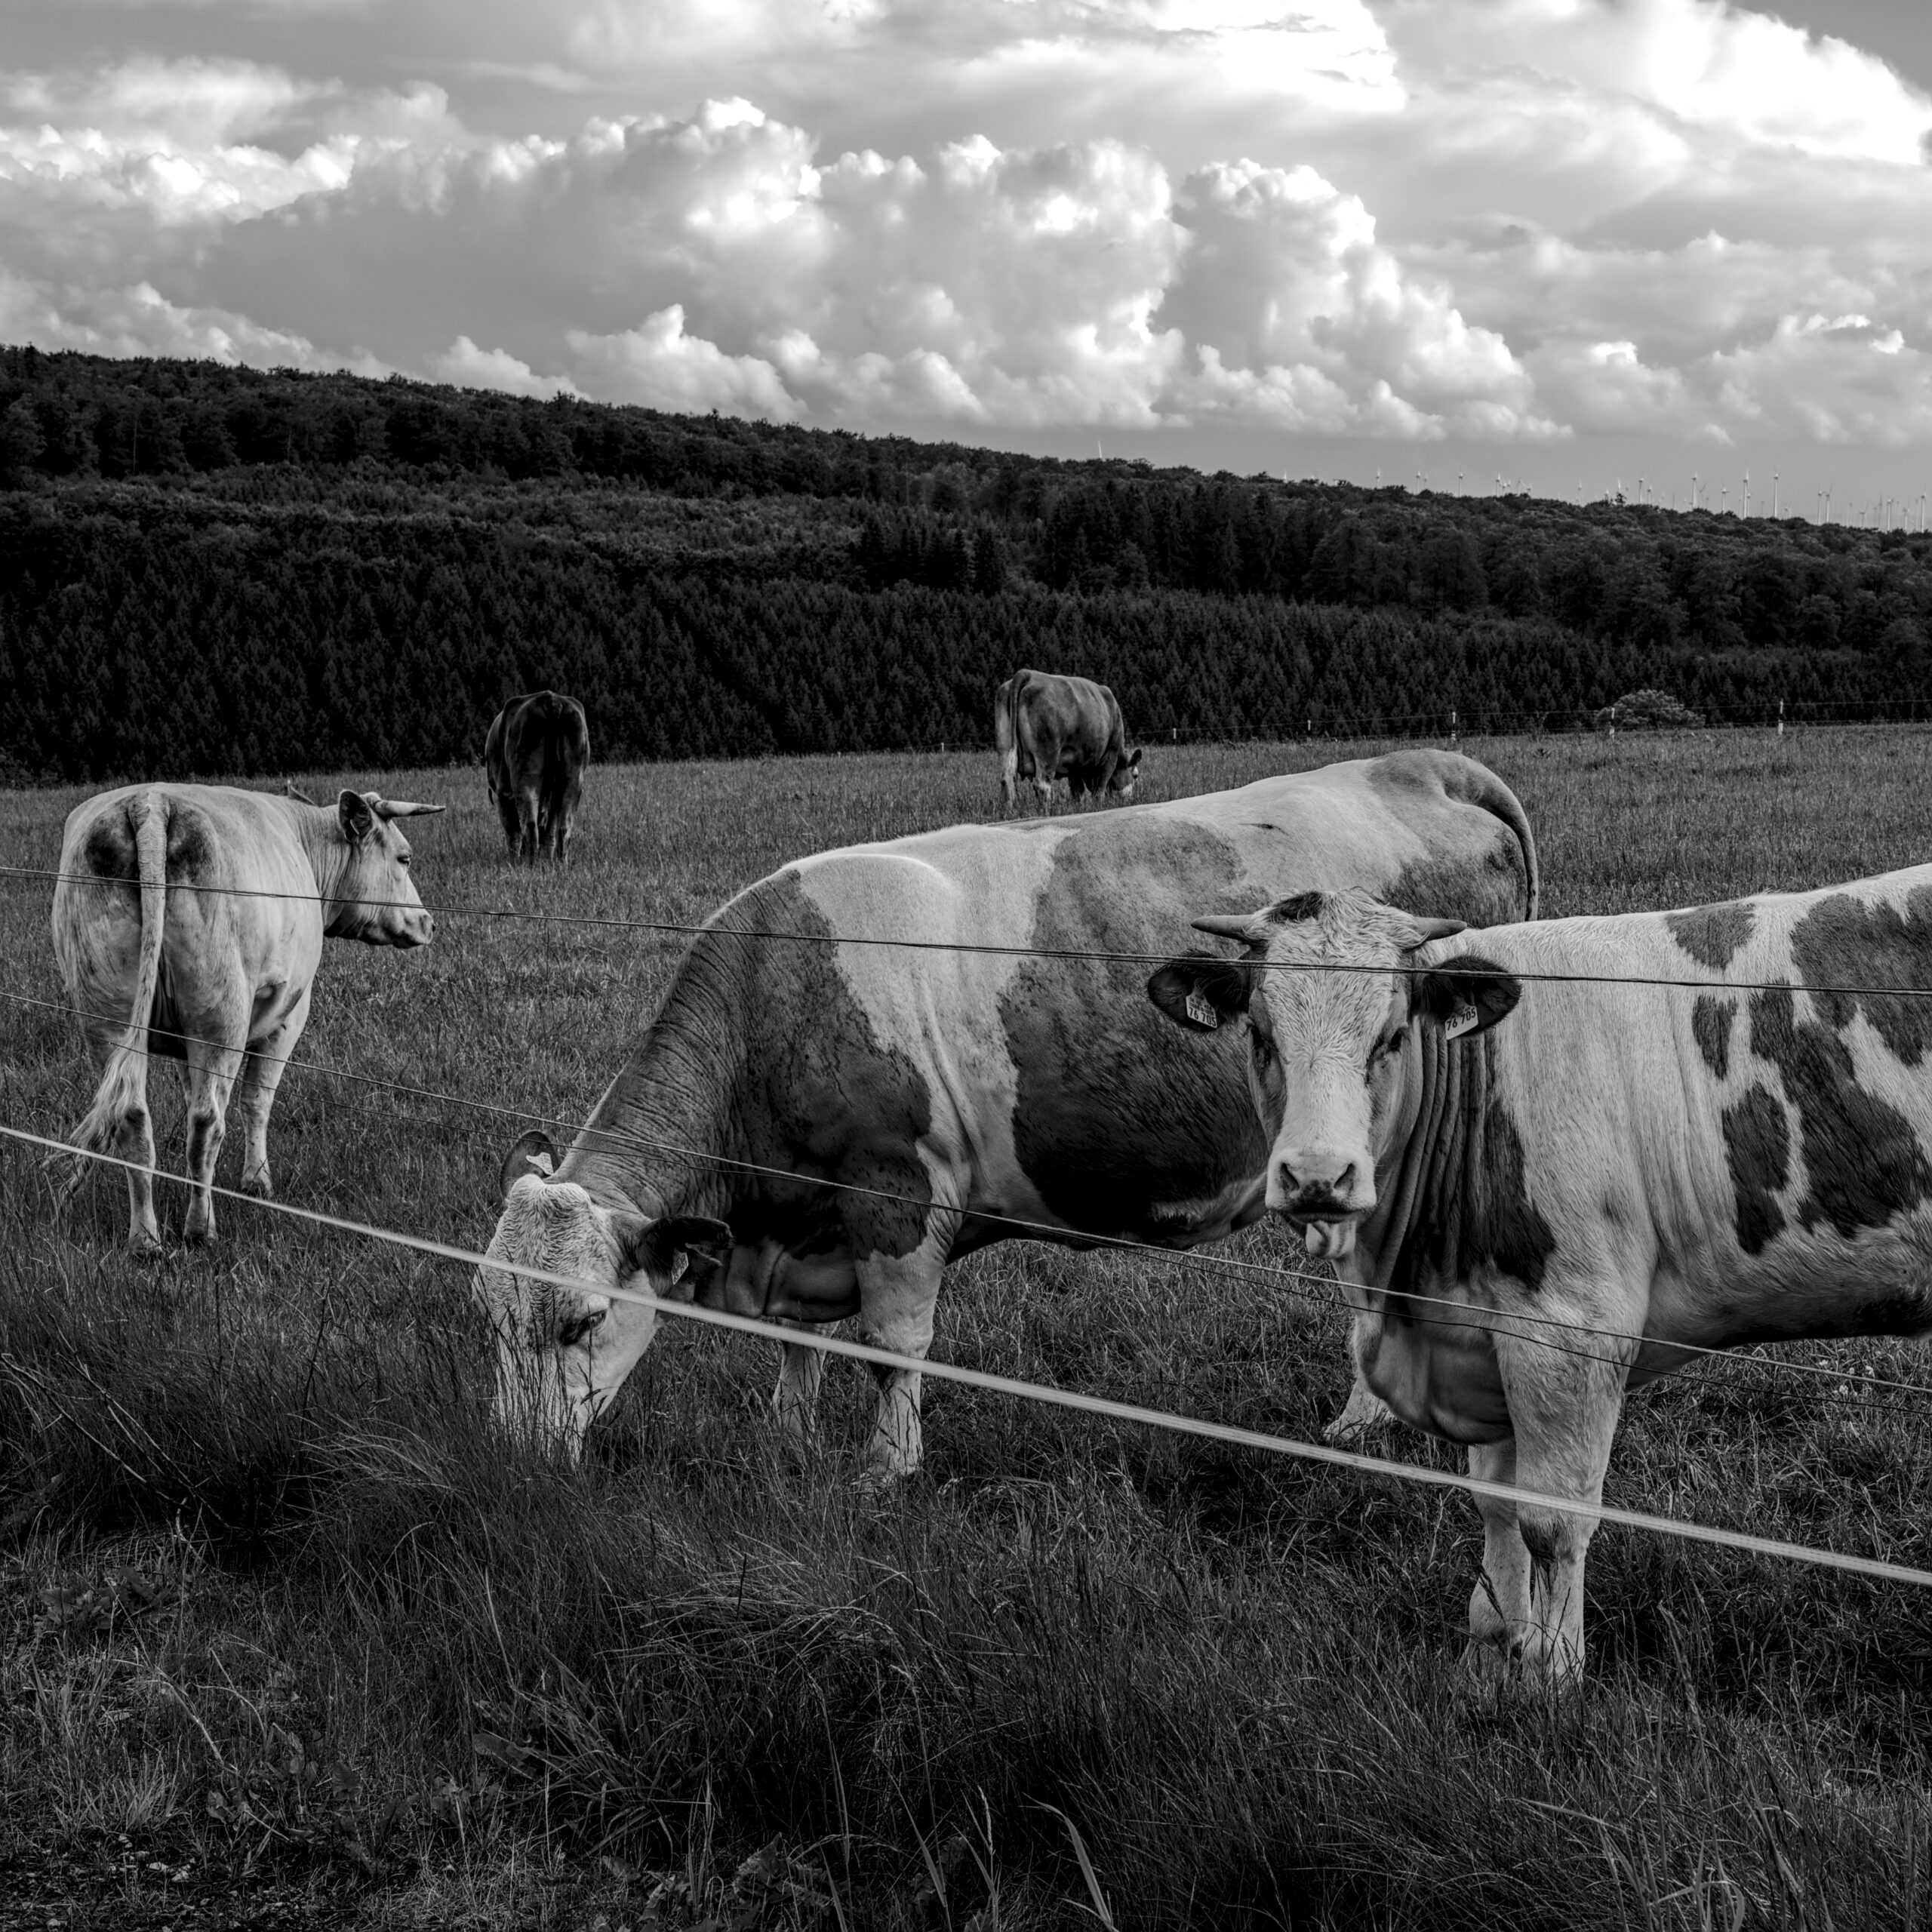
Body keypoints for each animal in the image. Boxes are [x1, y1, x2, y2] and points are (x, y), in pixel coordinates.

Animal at [51, 784, 443, 1253]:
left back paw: (145, 1239)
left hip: (106, 1015)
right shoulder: (288, 1016)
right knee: (206, 1122)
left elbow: (192, 1094)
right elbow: (257, 1100)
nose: (429, 922)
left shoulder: (182, 1043)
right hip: (221, 1017)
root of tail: (152, 802)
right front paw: (258, 1181)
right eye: (404, 858)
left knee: (133, 1116)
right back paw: (200, 1229)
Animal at [473, 750, 1537, 1477]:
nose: (516, 1458)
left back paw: (1368, 1419)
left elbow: (892, 1346)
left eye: (581, 1320)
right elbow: (797, 1346)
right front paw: (787, 1439)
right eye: (486, 1313)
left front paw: (884, 1471)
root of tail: (1425, 765)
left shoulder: (895, 1193)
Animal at [485, 690, 591, 863]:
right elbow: (549, 832)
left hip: (525, 778)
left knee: (530, 825)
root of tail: (551, 699)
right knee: (564, 827)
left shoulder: (503, 793)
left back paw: (531, 863)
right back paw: (560, 863)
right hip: (573, 776)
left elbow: (513, 833)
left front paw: (514, 861)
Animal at [995, 670, 1141, 809]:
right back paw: (1047, 811)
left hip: (1004, 747)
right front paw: (1099, 805)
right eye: (1135, 775)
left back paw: (1011, 811)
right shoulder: (1110, 755)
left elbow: (1077, 790)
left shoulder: (1076, 764)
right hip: (1047, 752)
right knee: (1042, 785)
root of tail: (1027, 673)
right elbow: (1099, 788)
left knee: (1007, 780)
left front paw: (1079, 806)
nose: (1130, 799)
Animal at [1147, 870, 1932, 1682]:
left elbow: (1553, 1520)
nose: (1316, 1176)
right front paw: (1493, 1643)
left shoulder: (1569, 1331)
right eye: (1261, 1036)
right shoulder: (1485, 1338)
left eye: (1391, 1036)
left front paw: (1553, 1674)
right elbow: (1494, 1501)